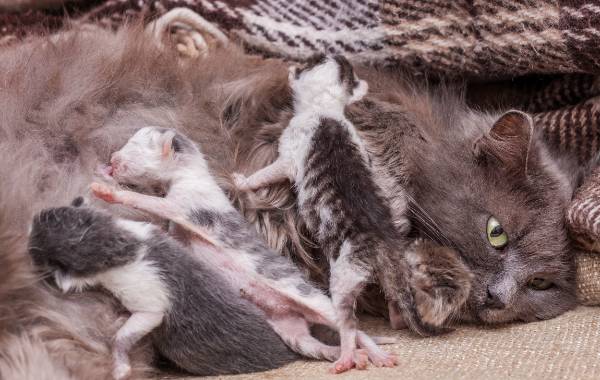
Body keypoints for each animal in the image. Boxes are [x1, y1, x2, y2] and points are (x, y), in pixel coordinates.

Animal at [27, 197, 296, 378]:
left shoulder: (146, 299)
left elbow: (127, 332)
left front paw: (120, 365)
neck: (118, 243)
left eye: (49, 258)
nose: (30, 230)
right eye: (54, 213)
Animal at [90, 126, 398, 372]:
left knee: (353, 329)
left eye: (135, 147)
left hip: (314, 301)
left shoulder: (183, 204)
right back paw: (349, 356)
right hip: (289, 330)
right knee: (316, 345)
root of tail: (295, 312)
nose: (112, 159)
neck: (191, 174)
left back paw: (373, 355)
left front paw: (106, 191)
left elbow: (146, 201)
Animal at [233, 56, 468, 374]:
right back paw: (393, 327)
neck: (326, 111)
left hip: (343, 280)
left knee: (347, 324)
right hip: (393, 278)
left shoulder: (288, 154)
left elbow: (265, 174)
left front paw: (242, 181)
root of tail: (385, 248)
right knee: (395, 306)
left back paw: (347, 358)